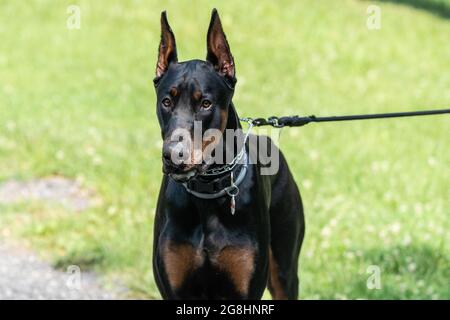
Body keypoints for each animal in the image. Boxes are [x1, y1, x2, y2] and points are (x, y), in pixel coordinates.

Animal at [153, 10, 304, 300]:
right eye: (166, 101)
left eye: (205, 103)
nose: (173, 156)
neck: (207, 191)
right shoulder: (173, 288)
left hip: (284, 271)